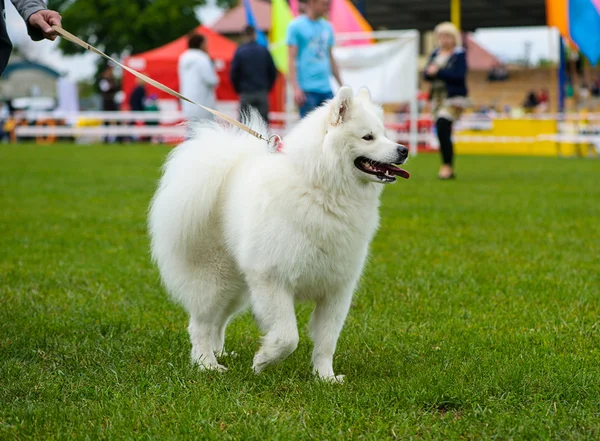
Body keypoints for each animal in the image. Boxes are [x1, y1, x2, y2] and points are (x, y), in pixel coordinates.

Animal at [149, 87, 410, 382]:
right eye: (368, 137)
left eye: (385, 133)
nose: (404, 149)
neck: (323, 192)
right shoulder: (273, 279)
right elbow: (288, 336)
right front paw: (264, 360)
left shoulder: (336, 289)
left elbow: (327, 340)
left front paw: (325, 377)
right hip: (215, 280)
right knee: (200, 324)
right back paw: (207, 363)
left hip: (237, 286)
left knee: (219, 320)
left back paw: (220, 353)